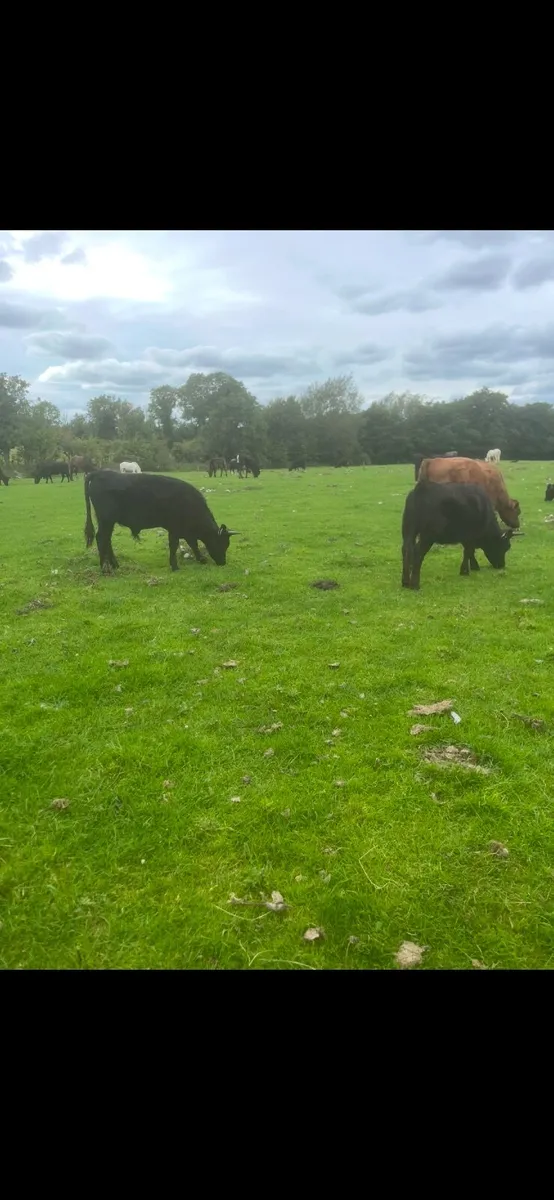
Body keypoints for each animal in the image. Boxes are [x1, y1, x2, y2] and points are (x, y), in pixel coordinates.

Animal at [84, 470, 239, 572]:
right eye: (222, 543)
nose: (223, 562)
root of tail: (102, 472)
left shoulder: (186, 531)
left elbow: (193, 544)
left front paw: (201, 559)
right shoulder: (175, 529)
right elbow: (174, 545)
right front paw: (175, 566)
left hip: (107, 521)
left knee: (107, 539)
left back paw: (115, 564)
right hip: (106, 520)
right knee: (101, 538)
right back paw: (105, 567)